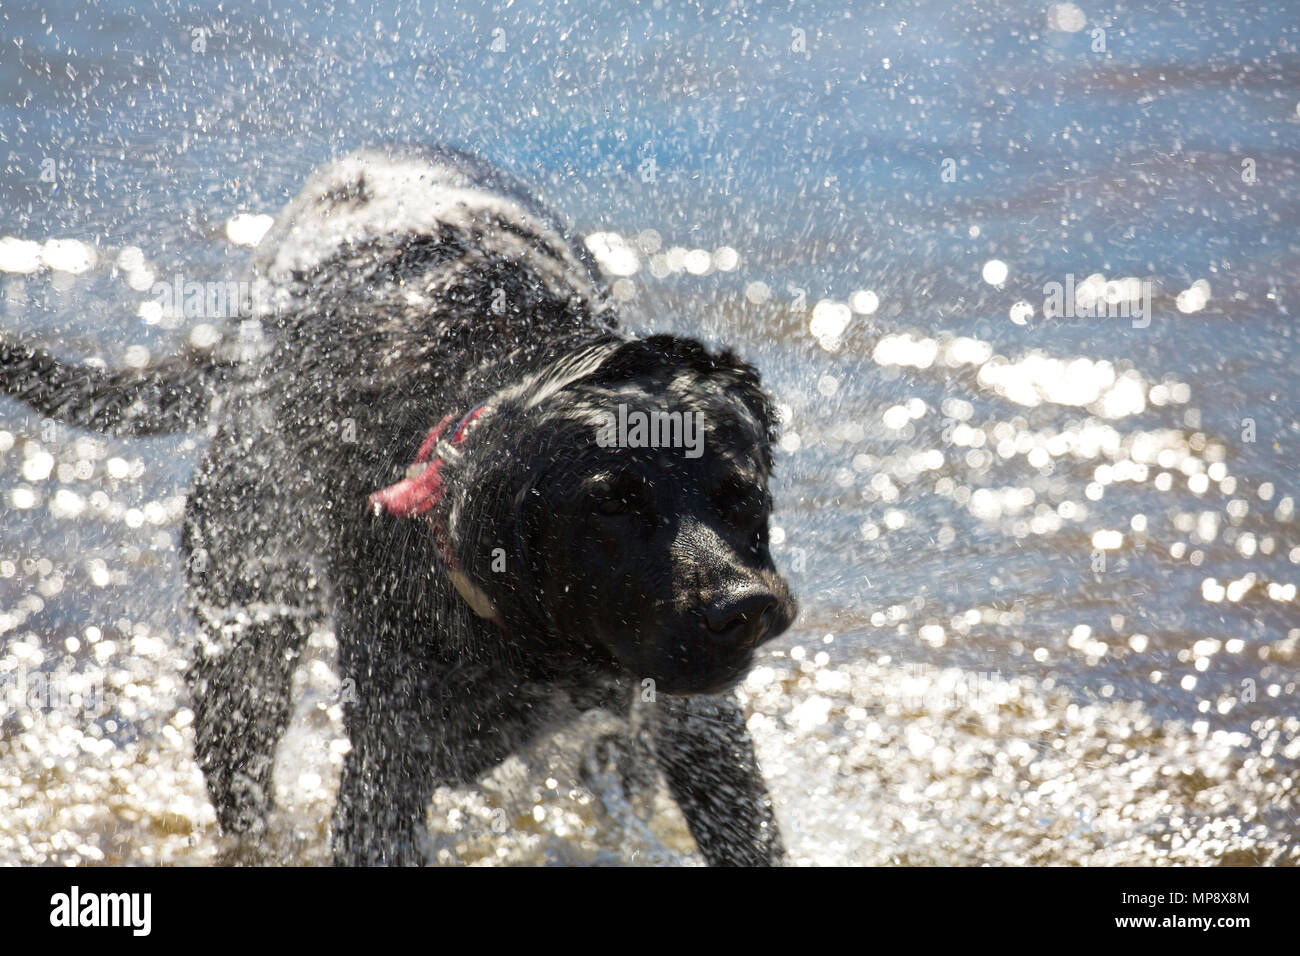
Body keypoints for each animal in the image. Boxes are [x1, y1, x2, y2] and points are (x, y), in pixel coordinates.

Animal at [0, 143, 795, 868]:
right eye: (611, 506)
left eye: (740, 495)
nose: (744, 607)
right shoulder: (385, 773)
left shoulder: (699, 733)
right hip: (243, 642)